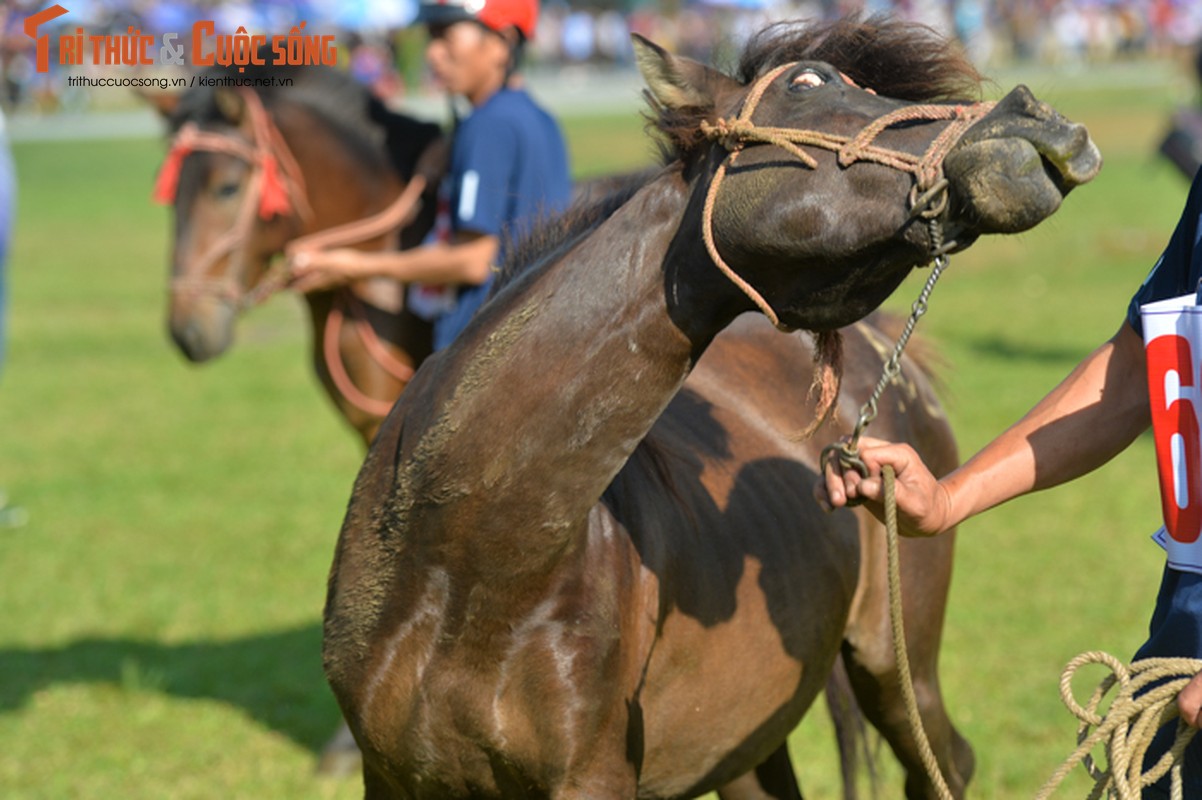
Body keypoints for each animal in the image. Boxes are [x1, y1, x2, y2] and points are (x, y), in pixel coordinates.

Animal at [324, 17, 1101, 797]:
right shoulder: (389, 774)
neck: (467, 567)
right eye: (808, 82)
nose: (1036, 117)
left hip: (895, 667)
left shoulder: (592, 776)